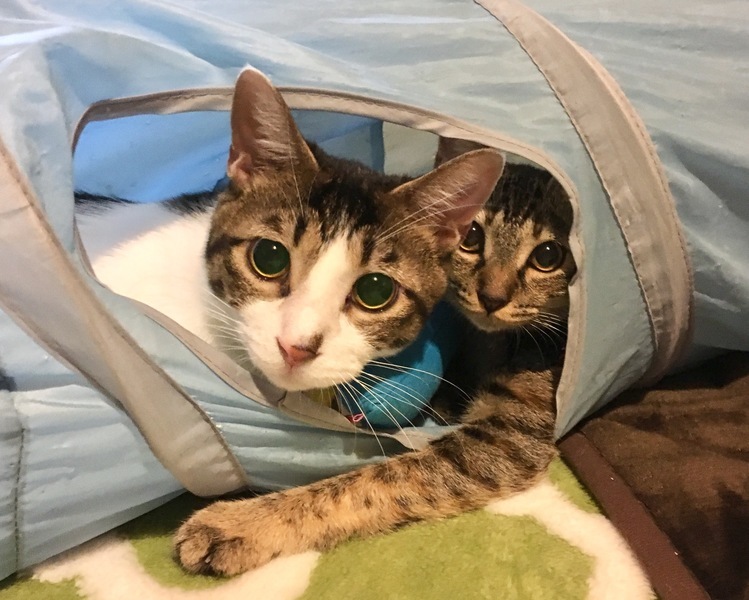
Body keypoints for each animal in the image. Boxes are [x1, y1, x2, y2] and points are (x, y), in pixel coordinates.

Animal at [172, 131, 575, 577]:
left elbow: (369, 482)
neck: (486, 342)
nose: (492, 297)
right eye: (471, 238)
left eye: (548, 257)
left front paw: (238, 523)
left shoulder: (510, 439)